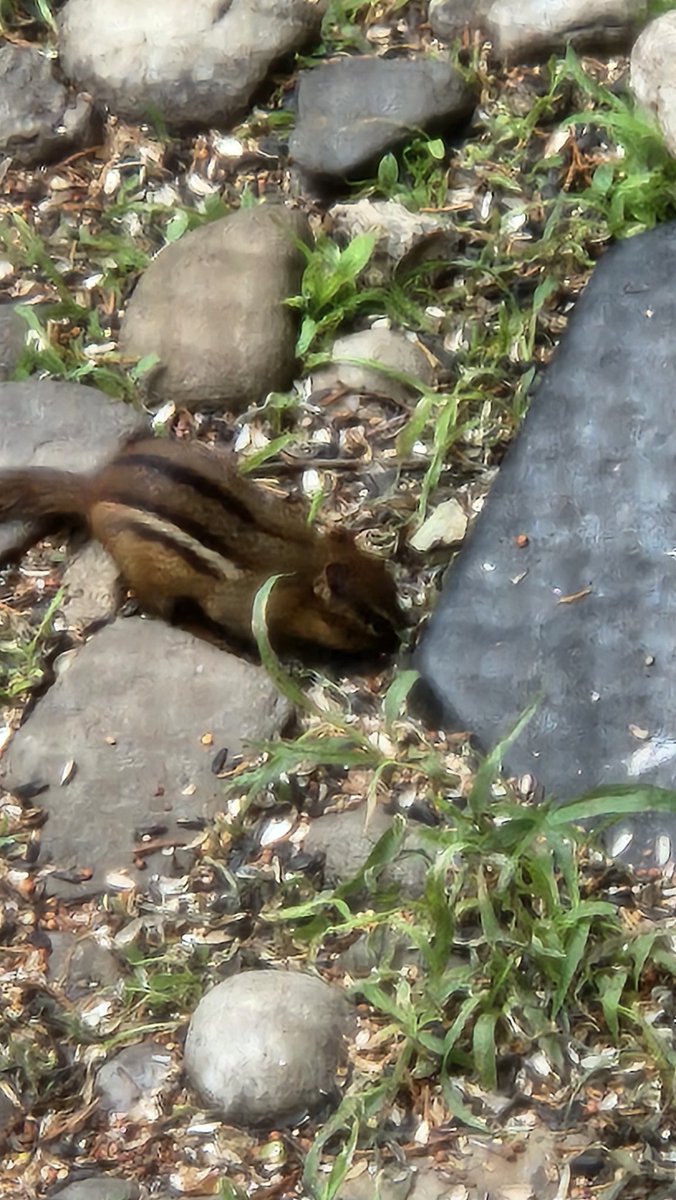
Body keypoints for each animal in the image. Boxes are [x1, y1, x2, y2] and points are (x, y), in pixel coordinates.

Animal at [0, 436, 402, 657]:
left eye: (391, 584)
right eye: (373, 622)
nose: (399, 640)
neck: (307, 563)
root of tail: (93, 491)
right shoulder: (241, 608)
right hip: (150, 574)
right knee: (164, 613)